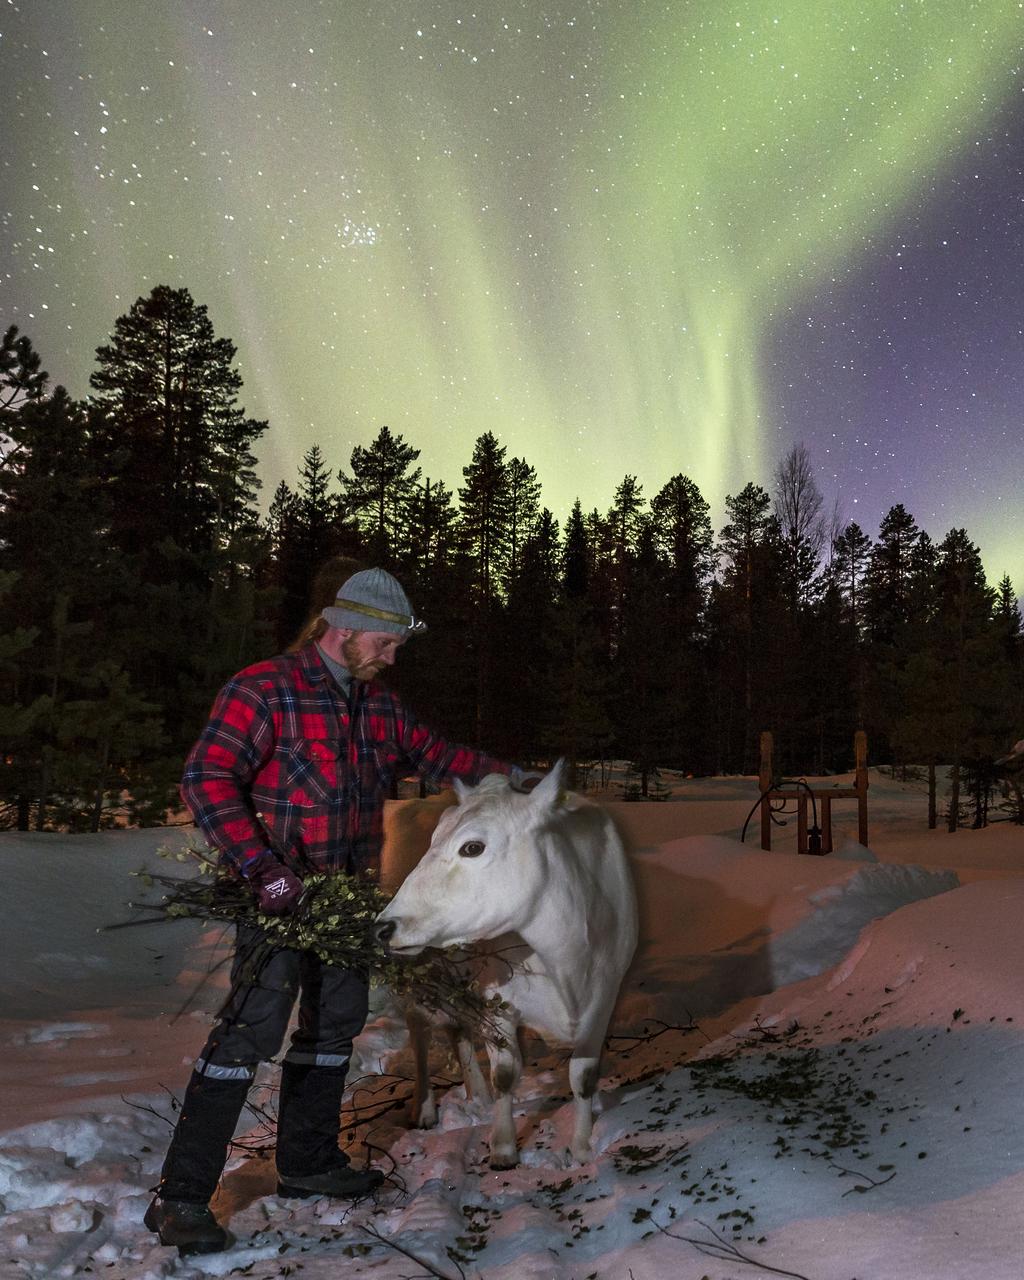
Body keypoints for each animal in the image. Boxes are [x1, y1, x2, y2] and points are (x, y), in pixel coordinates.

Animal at [371, 757, 634, 1172]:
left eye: (472, 847)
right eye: (434, 842)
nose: (383, 927)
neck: (566, 963)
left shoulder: (606, 995)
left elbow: (584, 1077)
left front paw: (581, 1149)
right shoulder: (500, 1003)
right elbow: (506, 1074)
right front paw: (504, 1148)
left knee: (456, 1028)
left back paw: (475, 1092)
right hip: (419, 976)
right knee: (419, 1030)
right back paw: (425, 1107)